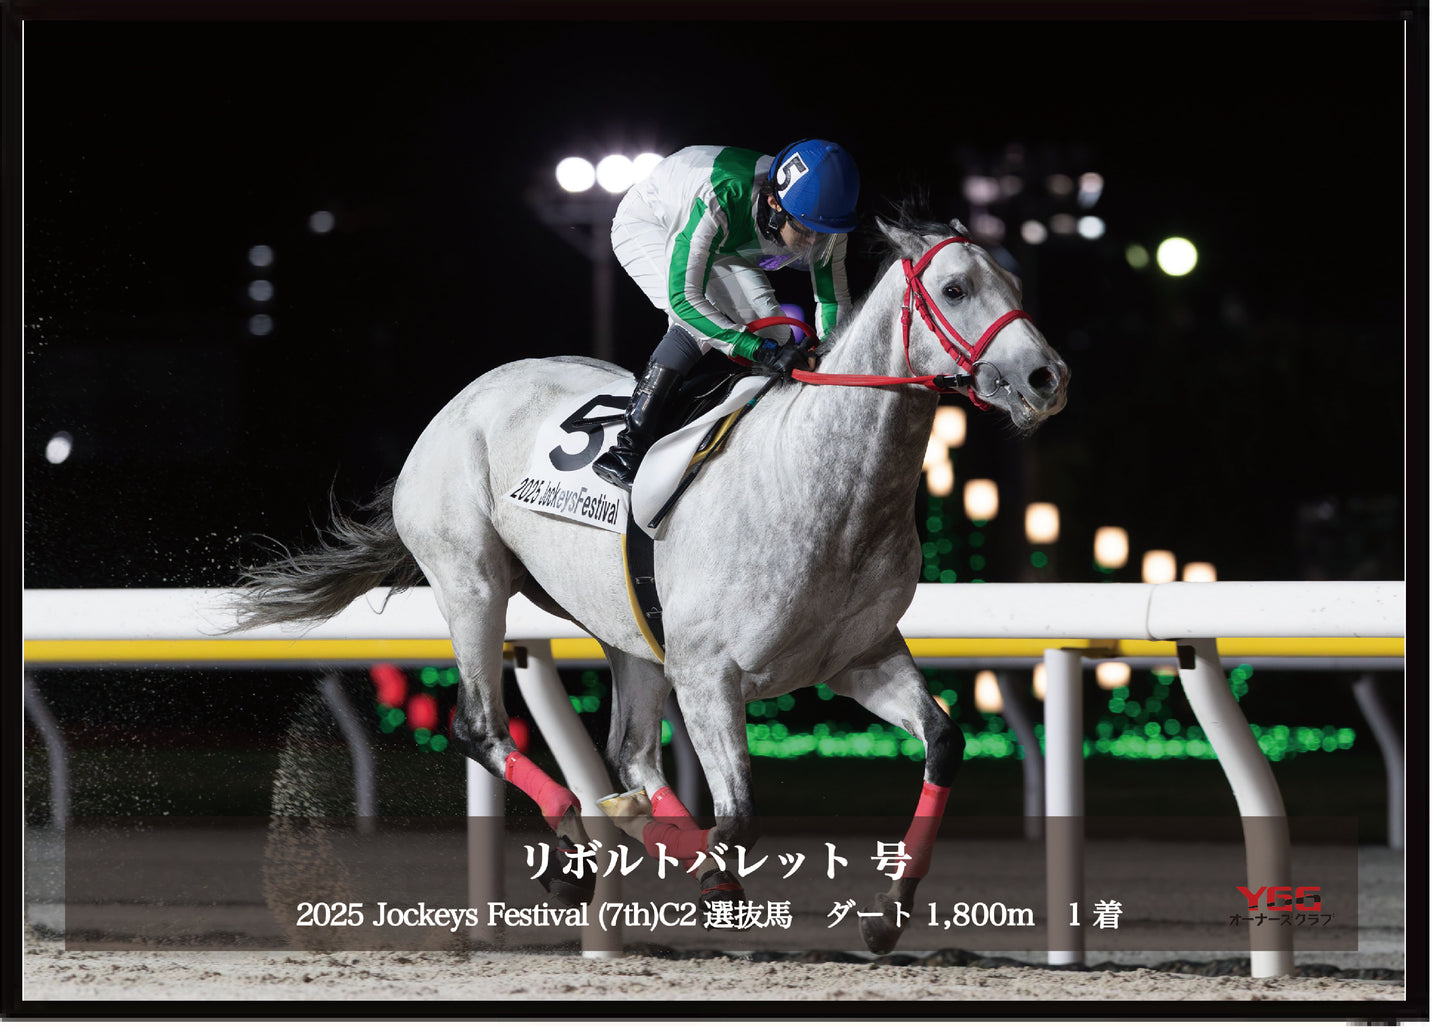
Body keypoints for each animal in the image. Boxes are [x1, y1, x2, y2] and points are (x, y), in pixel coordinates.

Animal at [232, 212, 1070, 954]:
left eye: (1013, 280)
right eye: (956, 287)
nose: (1046, 377)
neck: (823, 490)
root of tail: (464, 398)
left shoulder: (858, 656)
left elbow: (943, 741)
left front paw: (887, 915)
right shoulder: (707, 672)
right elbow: (739, 812)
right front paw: (715, 881)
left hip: (628, 627)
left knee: (629, 754)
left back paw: (625, 819)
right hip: (470, 578)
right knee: (481, 725)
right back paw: (573, 849)